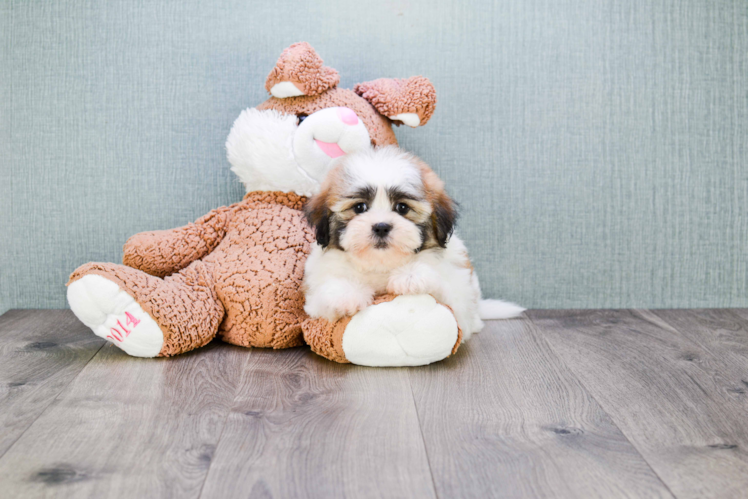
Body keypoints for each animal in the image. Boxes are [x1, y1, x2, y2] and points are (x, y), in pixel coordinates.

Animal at [300, 145, 524, 340]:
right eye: (360, 207)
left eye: (402, 207)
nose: (381, 226)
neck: (381, 265)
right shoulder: (316, 294)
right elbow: (327, 292)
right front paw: (346, 294)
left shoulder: (459, 292)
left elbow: (446, 289)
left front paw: (411, 276)